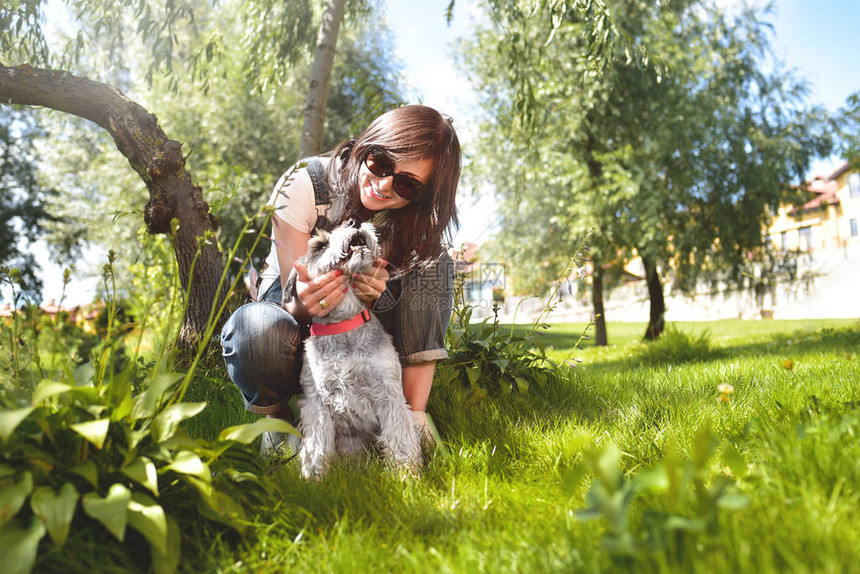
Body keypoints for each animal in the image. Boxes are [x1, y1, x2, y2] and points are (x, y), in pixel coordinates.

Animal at [284, 220, 422, 482]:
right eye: (320, 245)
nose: (354, 223)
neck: (344, 325)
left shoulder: (388, 392)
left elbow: (399, 437)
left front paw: (406, 475)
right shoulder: (316, 401)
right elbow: (316, 446)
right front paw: (313, 479)